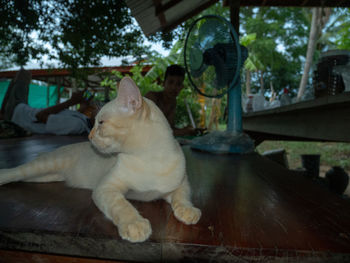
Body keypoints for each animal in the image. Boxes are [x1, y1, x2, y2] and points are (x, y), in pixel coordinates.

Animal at [0, 78, 201, 243]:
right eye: (94, 122)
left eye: (101, 123)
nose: (89, 136)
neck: (149, 160)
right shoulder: (106, 188)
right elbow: (123, 206)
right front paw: (135, 225)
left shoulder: (180, 185)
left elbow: (182, 197)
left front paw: (188, 211)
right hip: (41, 167)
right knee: (13, 171)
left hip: (45, 177)